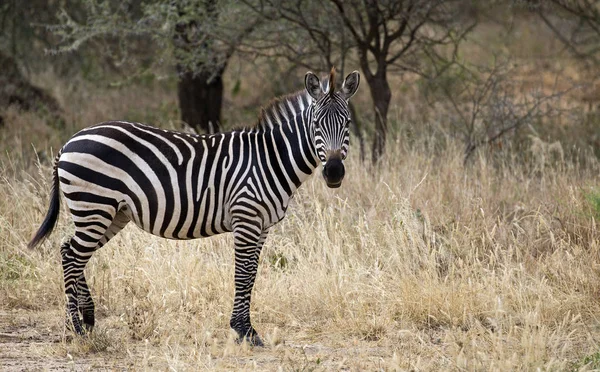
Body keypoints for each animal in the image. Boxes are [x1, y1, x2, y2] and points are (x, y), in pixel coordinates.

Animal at [28, 68, 358, 348]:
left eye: (347, 124)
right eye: (316, 124)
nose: (334, 172)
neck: (270, 159)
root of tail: (69, 142)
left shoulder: (262, 226)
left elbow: (252, 274)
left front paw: (245, 329)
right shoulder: (246, 218)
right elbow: (243, 274)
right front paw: (244, 331)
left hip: (111, 214)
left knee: (69, 251)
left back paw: (86, 319)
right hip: (94, 207)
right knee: (71, 256)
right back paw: (75, 327)